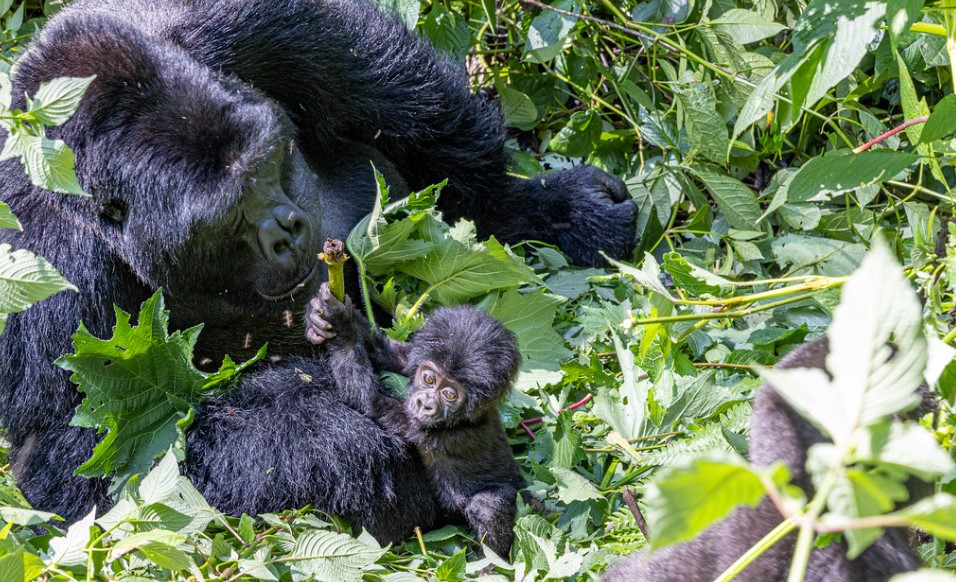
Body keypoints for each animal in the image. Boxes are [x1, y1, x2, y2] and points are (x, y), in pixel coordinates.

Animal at [305, 283, 525, 557]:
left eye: (449, 394)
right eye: (429, 378)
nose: (425, 404)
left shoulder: (439, 433)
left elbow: (370, 400)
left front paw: (341, 327)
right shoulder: (413, 356)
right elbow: (386, 351)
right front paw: (327, 313)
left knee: (487, 505)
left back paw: (492, 561)